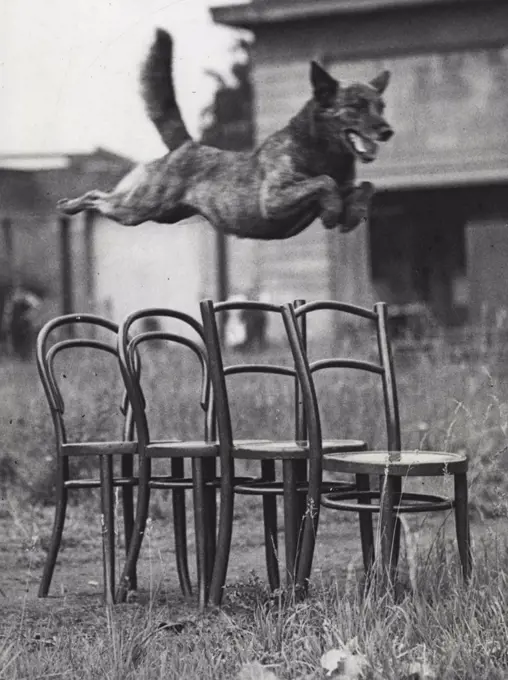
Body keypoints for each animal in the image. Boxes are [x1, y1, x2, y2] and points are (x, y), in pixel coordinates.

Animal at [58, 29, 392, 242]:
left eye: (381, 106)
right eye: (356, 106)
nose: (387, 131)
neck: (320, 150)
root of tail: (186, 145)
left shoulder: (345, 184)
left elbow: (366, 186)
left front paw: (351, 213)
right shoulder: (273, 199)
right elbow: (325, 182)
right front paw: (333, 210)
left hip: (161, 213)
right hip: (136, 206)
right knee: (96, 196)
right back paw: (69, 205)